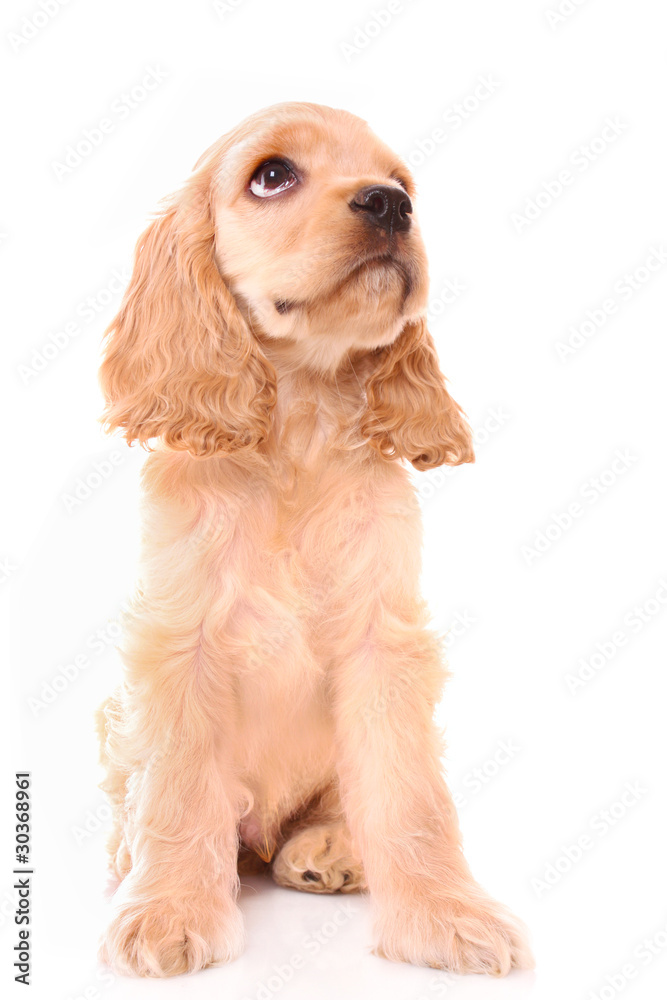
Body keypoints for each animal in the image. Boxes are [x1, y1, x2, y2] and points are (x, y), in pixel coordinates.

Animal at [96, 99, 536, 976]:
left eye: (402, 182)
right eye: (271, 175)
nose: (390, 206)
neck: (296, 428)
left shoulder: (384, 639)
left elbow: (410, 796)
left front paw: (444, 914)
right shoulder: (176, 638)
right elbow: (175, 787)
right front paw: (166, 911)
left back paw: (326, 848)